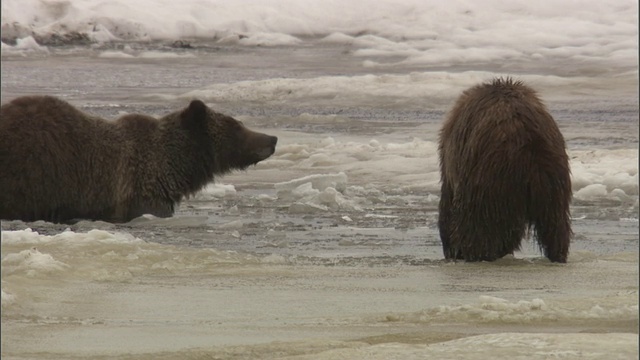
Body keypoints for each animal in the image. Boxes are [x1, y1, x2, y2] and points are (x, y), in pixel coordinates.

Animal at [438, 77, 572, 262]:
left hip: (488, 177)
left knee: (475, 222)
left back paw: (473, 251)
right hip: (553, 177)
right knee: (555, 224)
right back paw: (557, 253)